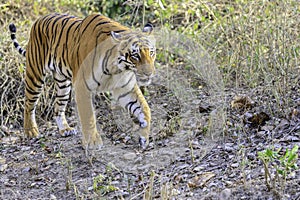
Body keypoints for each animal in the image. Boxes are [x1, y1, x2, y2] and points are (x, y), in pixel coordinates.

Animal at [8, 12, 157, 148]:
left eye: (151, 52)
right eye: (135, 55)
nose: (149, 73)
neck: (116, 68)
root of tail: (38, 20)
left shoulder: (125, 87)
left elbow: (144, 108)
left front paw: (144, 137)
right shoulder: (82, 87)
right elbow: (88, 116)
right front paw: (93, 142)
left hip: (63, 84)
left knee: (58, 107)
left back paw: (65, 129)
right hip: (35, 74)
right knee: (28, 103)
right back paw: (31, 132)